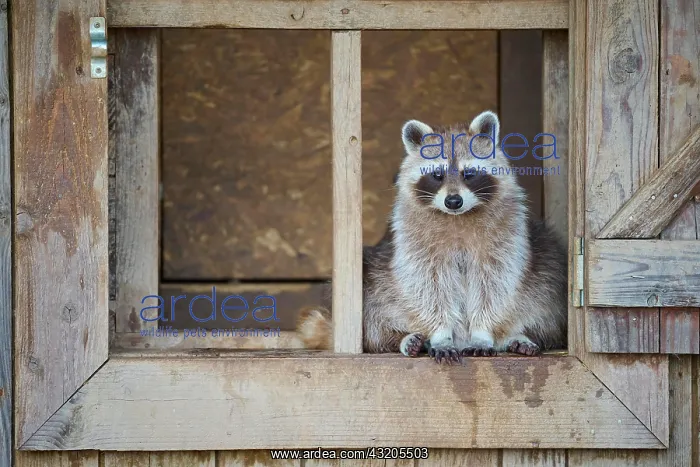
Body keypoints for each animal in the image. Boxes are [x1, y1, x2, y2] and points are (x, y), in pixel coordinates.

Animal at [297, 110, 567, 362]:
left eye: (469, 173)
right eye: (437, 174)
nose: (453, 201)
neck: (457, 216)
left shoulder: (506, 238)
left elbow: (494, 285)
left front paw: (482, 332)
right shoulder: (414, 244)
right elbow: (428, 286)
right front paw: (441, 334)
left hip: (546, 268)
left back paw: (516, 336)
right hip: (373, 280)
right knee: (373, 315)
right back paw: (402, 338)